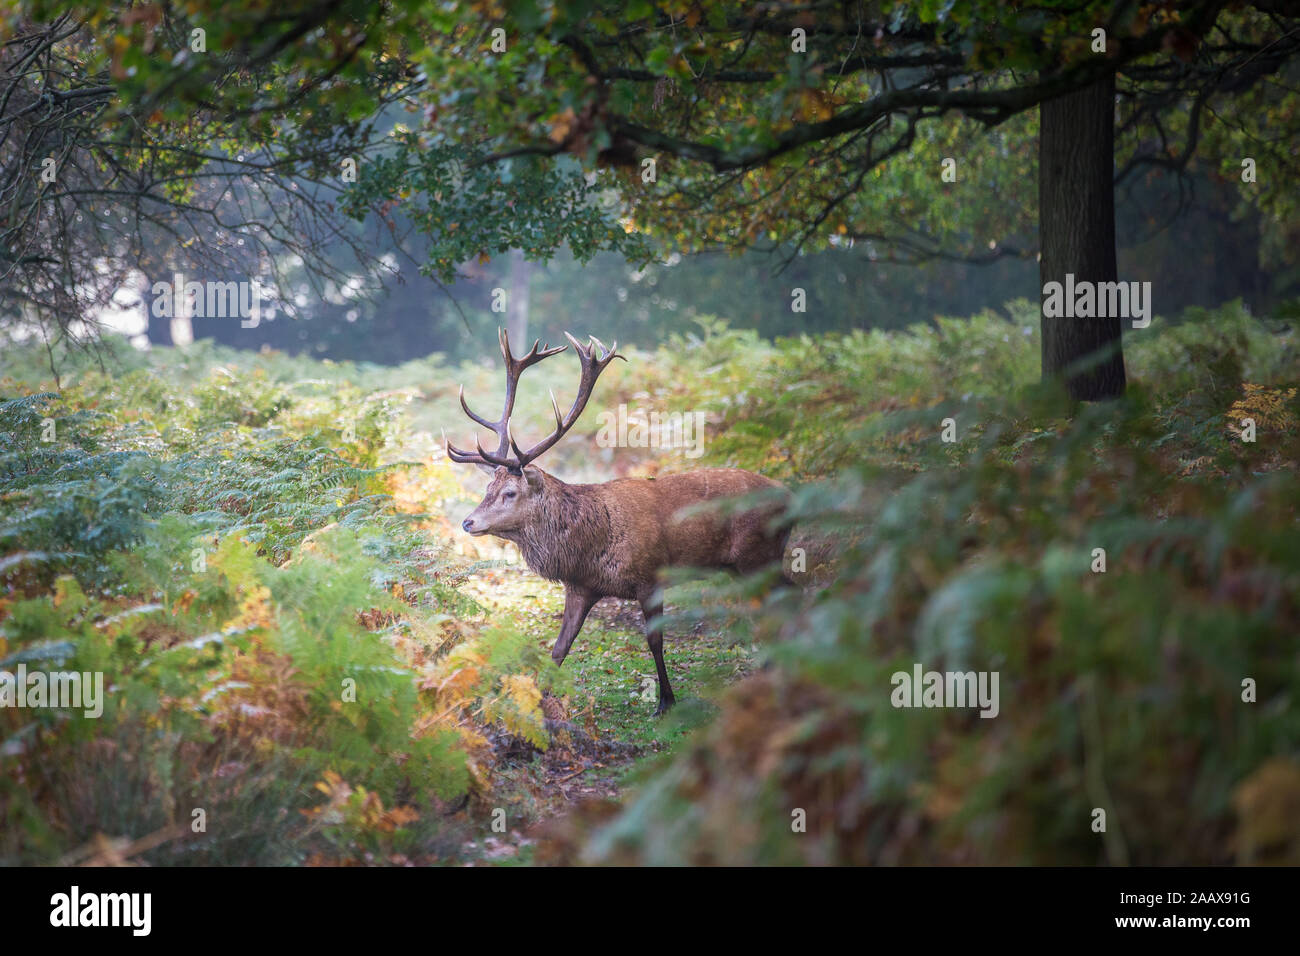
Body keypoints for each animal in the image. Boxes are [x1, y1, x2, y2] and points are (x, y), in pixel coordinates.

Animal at [446, 329, 792, 716]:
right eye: (487, 487)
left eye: (509, 492)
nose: (468, 522)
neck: (592, 545)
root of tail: (789, 494)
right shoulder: (580, 587)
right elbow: (559, 648)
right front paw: (541, 700)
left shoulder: (650, 575)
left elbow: (655, 640)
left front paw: (666, 701)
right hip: (740, 566)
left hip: (759, 555)